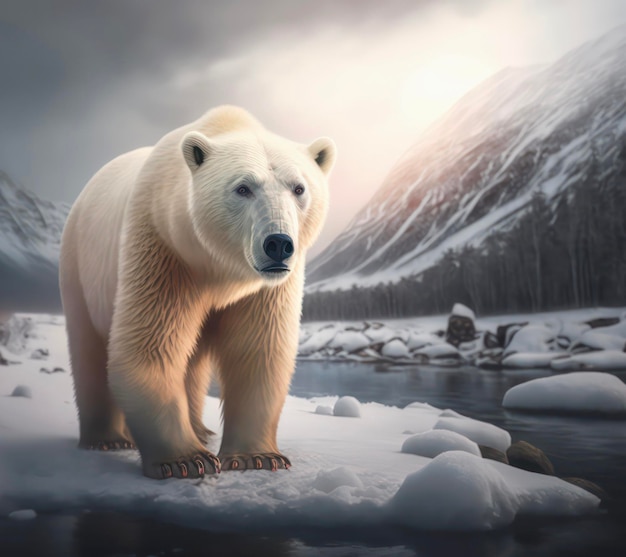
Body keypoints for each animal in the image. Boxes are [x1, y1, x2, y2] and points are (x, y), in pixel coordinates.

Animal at [61, 105, 336, 478]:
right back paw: (106, 438)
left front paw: (259, 457)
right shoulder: (162, 249)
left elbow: (258, 351)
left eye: (298, 188)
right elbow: (150, 346)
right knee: (88, 348)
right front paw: (185, 461)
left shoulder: (266, 290)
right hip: (80, 265)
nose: (278, 244)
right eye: (243, 188)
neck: (220, 269)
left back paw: (200, 429)